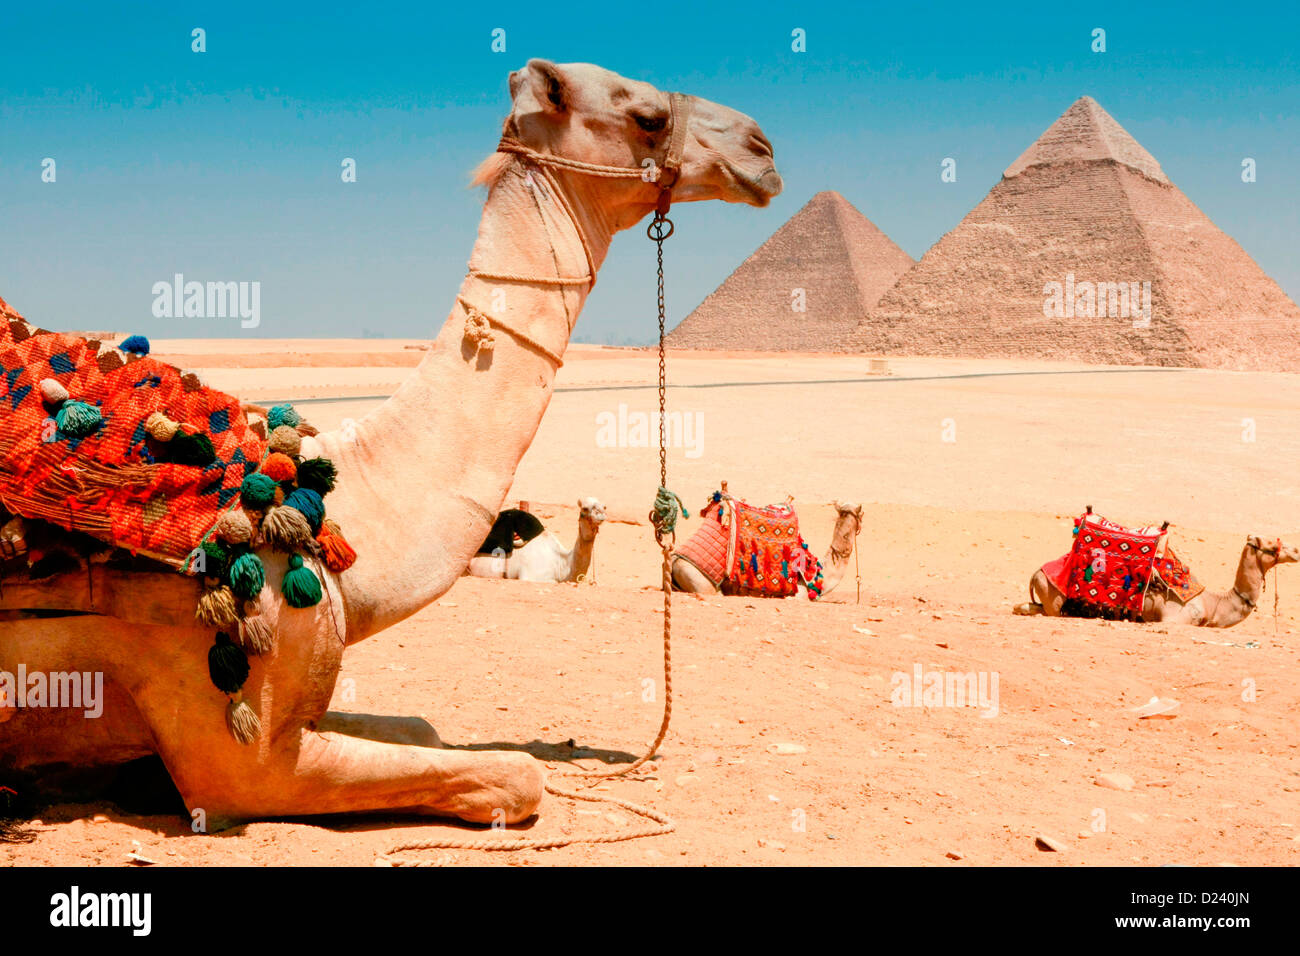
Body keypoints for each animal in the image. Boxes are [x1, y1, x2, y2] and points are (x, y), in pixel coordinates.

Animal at [1013, 535, 1300, 624]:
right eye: (1272, 544)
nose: (1296, 550)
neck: (1212, 605)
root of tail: (1036, 572)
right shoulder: (1175, 619)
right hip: (1054, 599)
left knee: (1026, 607)